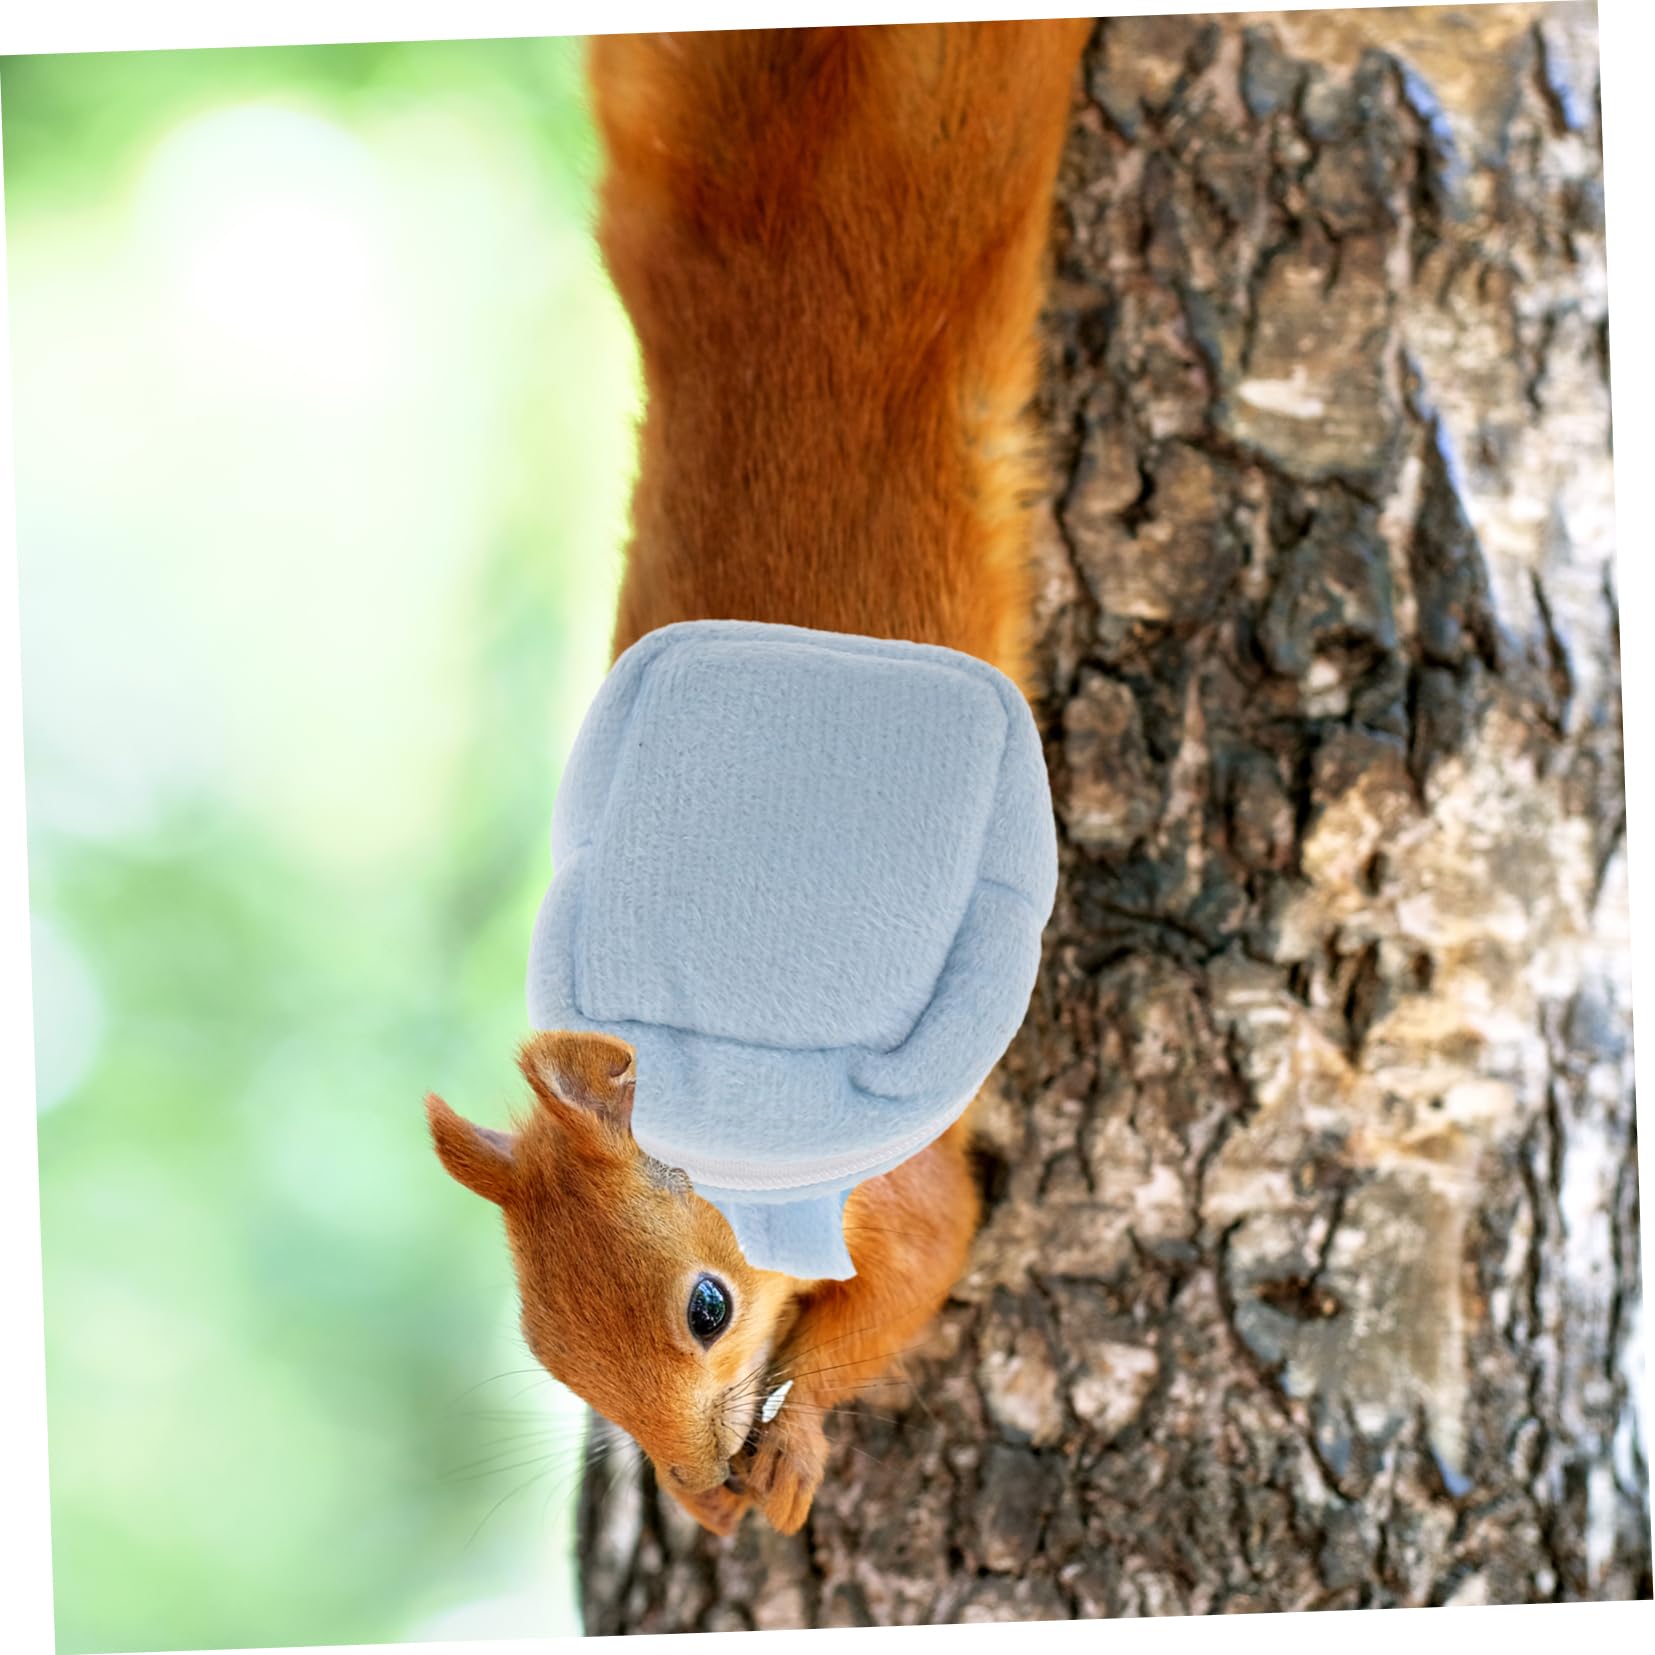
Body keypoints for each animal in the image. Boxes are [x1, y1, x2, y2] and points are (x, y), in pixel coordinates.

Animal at [426, 20, 1091, 1538]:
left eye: (707, 1308)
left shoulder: (891, 1174)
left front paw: (795, 1440)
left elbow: (918, 1269)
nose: (689, 1490)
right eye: (545, 1346)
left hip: (965, 116)